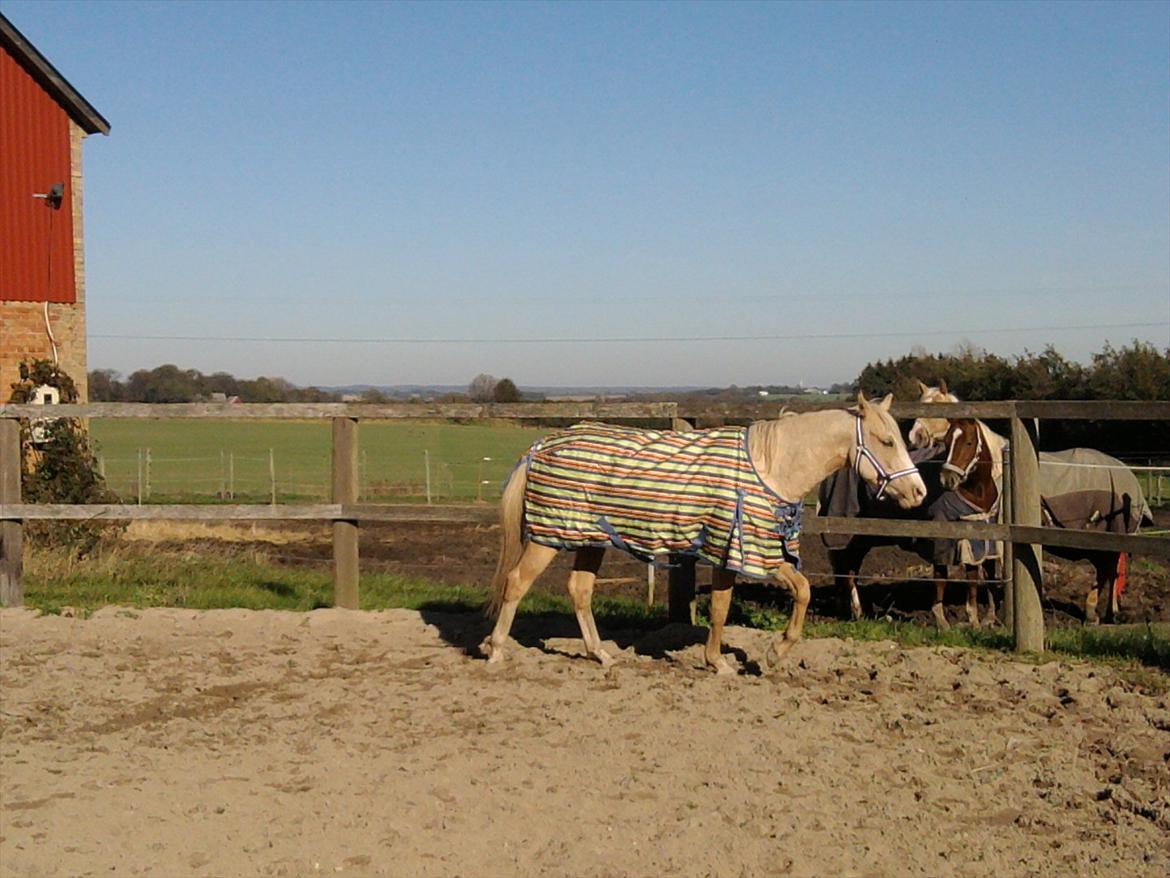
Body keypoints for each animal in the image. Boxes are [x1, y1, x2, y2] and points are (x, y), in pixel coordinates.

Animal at [479, 395, 926, 678]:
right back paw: (496, 650)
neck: (771, 468)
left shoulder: (745, 554)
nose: (918, 492)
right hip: (547, 538)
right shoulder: (744, 552)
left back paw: (601, 654)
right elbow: (751, 602)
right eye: (887, 440)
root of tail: (541, 446)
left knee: (580, 590)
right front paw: (753, 656)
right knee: (516, 584)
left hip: (589, 540)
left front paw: (746, 658)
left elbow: (757, 601)